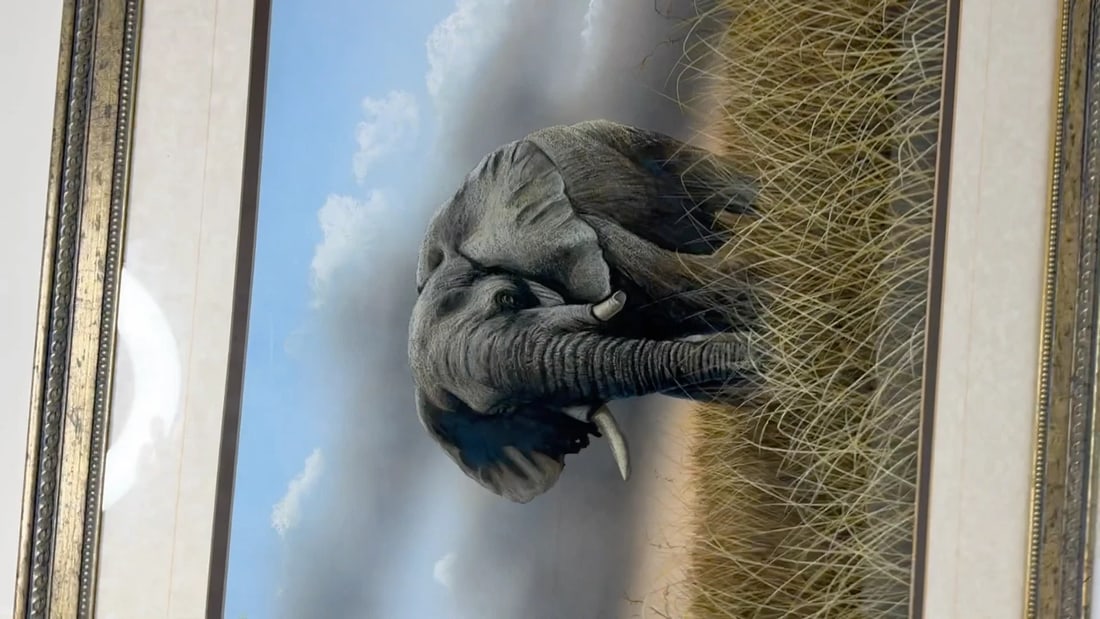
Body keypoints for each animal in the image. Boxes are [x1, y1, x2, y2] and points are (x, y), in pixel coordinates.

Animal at [408, 119, 762, 503]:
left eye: (507, 298)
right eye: (506, 410)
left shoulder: (588, 233)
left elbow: (692, 286)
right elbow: (686, 378)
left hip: (623, 138)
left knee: (708, 183)